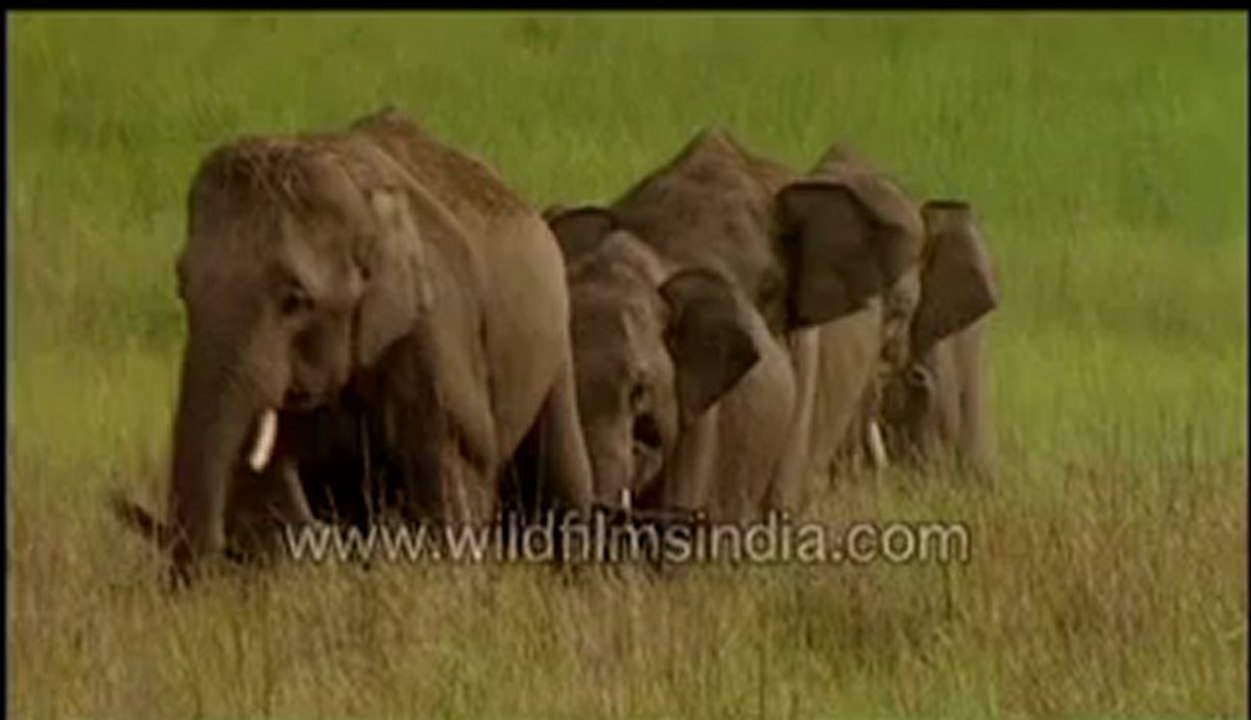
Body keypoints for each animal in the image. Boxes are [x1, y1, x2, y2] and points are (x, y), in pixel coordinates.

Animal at [111, 107, 594, 580]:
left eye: (296, 300)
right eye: (182, 286)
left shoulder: (436, 326)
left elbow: (451, 458)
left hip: (554, 339)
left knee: (561, 467)